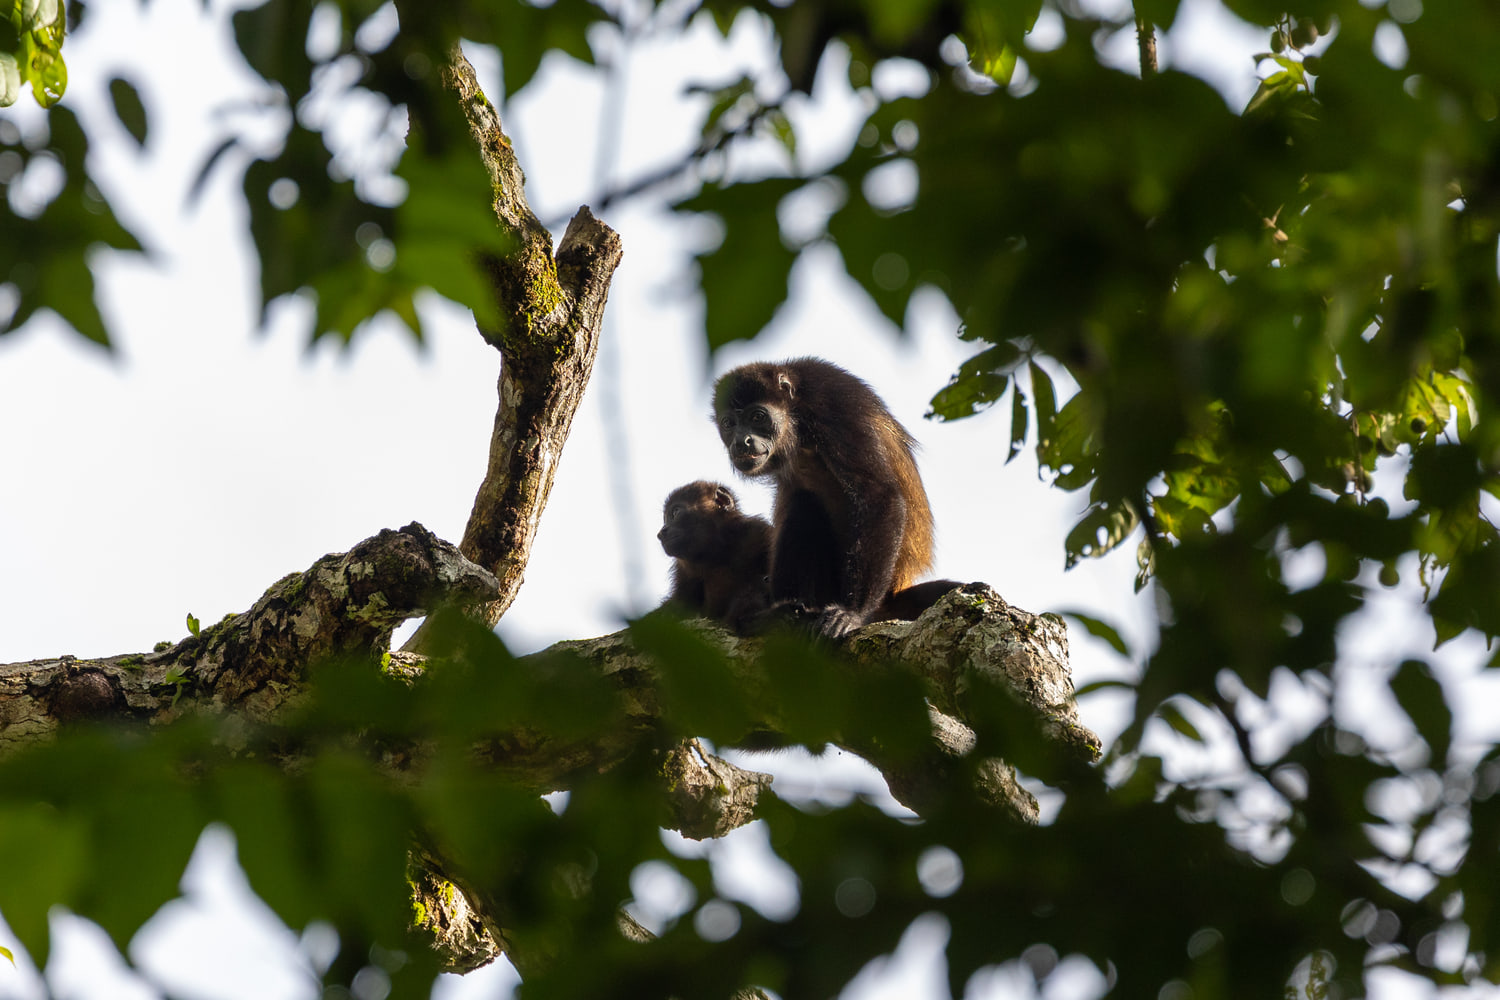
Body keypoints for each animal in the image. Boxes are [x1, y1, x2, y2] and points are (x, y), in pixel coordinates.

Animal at [657, 480, 772, 629]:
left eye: (675, 512)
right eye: (665, 519)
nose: (661, 533)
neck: (719, 553)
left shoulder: (758, 532)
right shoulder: (682, 573)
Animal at [713, 357, 955, 639]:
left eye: (758, 416)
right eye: (729, 424)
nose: (742, 441)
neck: (798, 421)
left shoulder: (835, 403)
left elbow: (878, 494)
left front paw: (853, 613)